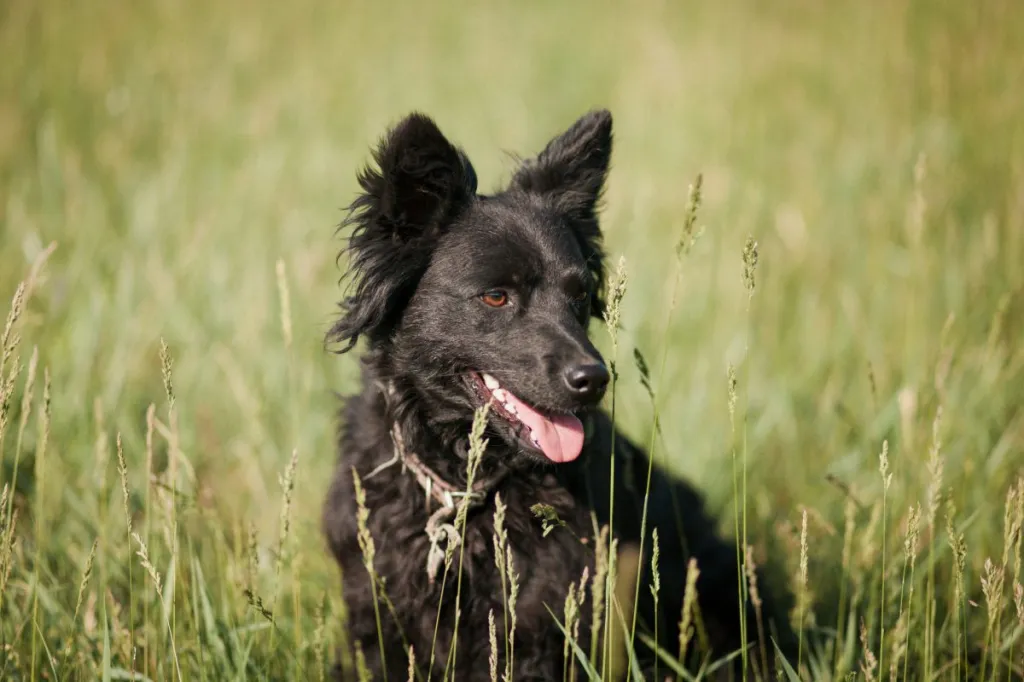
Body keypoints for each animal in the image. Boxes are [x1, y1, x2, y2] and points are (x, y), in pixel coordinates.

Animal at [319, 109, 790, 675]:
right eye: (496, 296)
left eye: (580, 294)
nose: (593, 379)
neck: (464, 490)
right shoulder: (379, 619)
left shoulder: (542, 624)